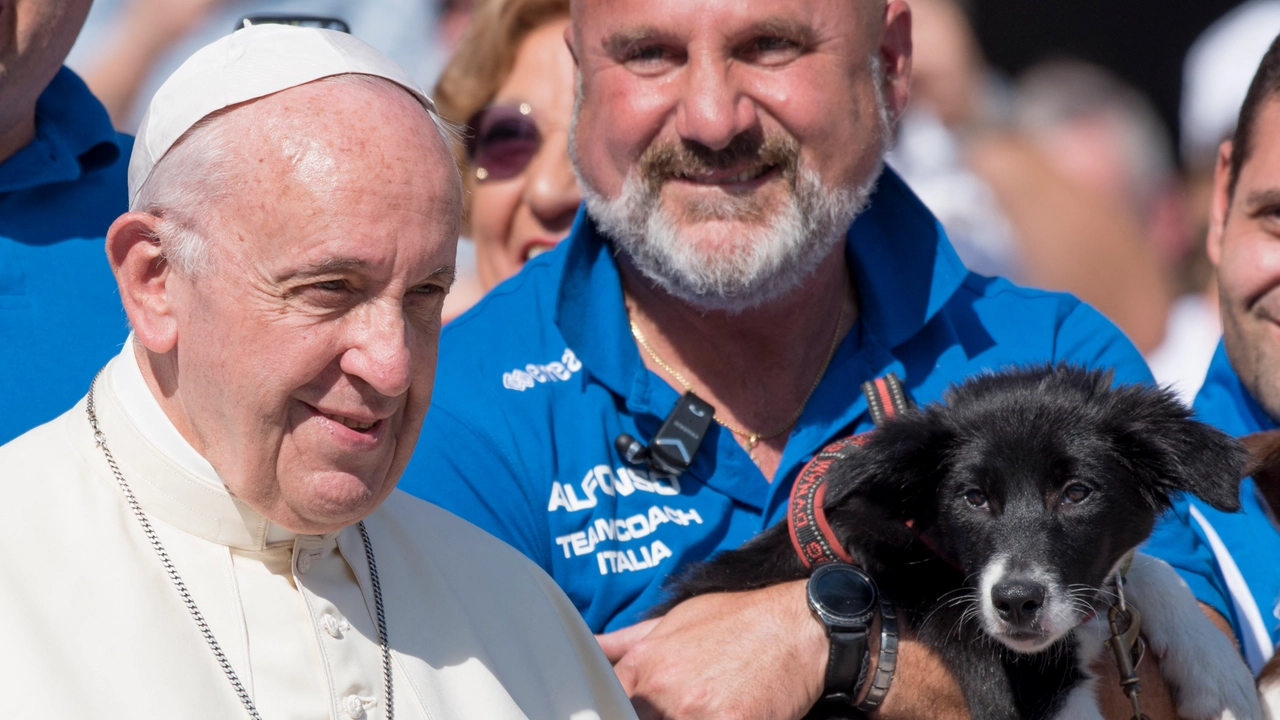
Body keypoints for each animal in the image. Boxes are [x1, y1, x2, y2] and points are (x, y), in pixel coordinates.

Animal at [665, 366, 1254, 712]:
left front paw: (1221, 678)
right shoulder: (1002, 675)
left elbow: (1149, 567)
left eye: (1077, 493)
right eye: (972, 498)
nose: (1015, 602)